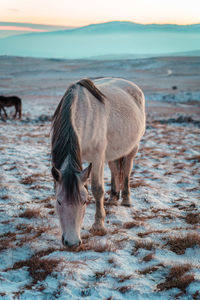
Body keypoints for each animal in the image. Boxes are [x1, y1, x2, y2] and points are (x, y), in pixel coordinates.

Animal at [51, 77, 145, 246]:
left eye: (84, 201)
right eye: (59, 201)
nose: (72, 243)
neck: (81, 113)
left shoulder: (97, 158)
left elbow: (97, 189)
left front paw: (98, 225)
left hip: (132, 148)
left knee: (127, 169)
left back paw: (126, 200)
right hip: (113, 151)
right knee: (115, 168)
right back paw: (113, 198)